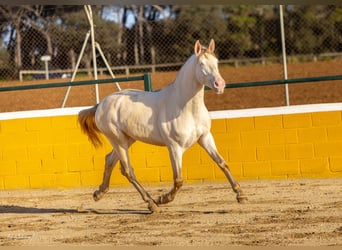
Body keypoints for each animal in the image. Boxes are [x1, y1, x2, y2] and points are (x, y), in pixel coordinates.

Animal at [78, 39, 247, 213]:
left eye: (216, 62)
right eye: (201, 64)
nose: (219, 85)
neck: (184, 107)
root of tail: (101, 104)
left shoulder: (205, 137)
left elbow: (222, 163)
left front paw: (240, 195)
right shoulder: (174, 147)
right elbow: (178, 180)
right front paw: (162, 199)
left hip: (127, 139)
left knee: (110, 160)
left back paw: (99, 193)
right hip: (118, 140)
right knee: (128, 170)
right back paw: (151, 203)